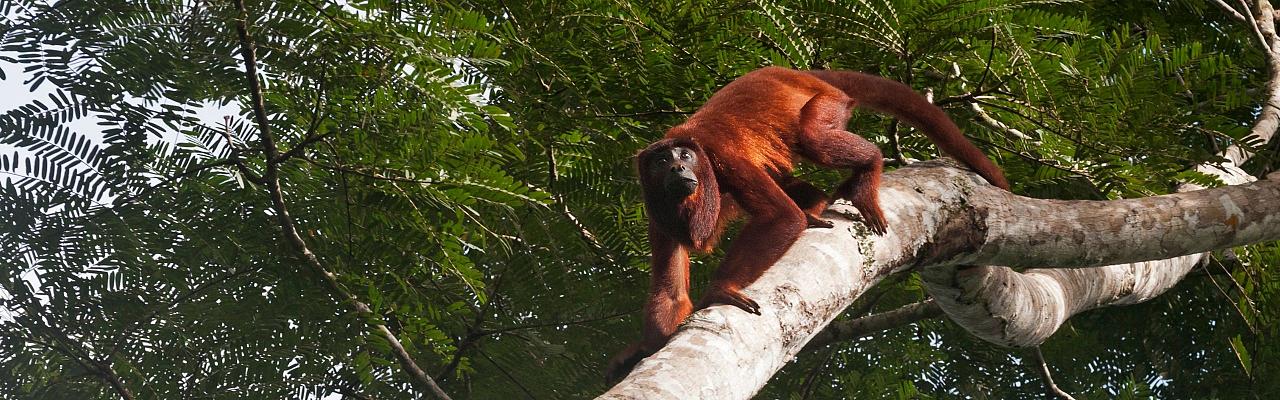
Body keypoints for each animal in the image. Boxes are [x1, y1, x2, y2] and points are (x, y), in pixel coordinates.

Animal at [604, 67, 1013, 382]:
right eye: (661, 162)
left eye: (684, 155)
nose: (677, 168)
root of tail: (800, 73)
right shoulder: (655, 212)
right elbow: (670, 291)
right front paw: (645, 349)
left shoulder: (723, 157)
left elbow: (782, 217)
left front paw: (723, 288)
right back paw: (817, 205)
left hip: (826, 103)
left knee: (813, 138)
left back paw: (868, 168)